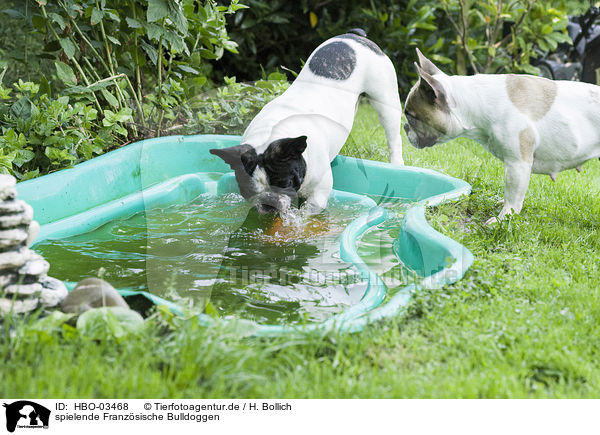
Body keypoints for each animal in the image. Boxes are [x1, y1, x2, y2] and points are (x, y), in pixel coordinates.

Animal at [211, 29, 404, 215]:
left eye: (284, 183)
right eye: (249, 190)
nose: (268, 202)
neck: (272, 133)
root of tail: (353, 35)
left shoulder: (319, 194)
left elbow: (308, 213)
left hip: (385, 99)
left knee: (393, 135)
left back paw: (397, 164)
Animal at [404, 49, 600, 223]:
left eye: (411, 117)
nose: (405, 127)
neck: (475, 101)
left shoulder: (518, 164)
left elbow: (513, 195)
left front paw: (503, 218)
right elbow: (510, 194)